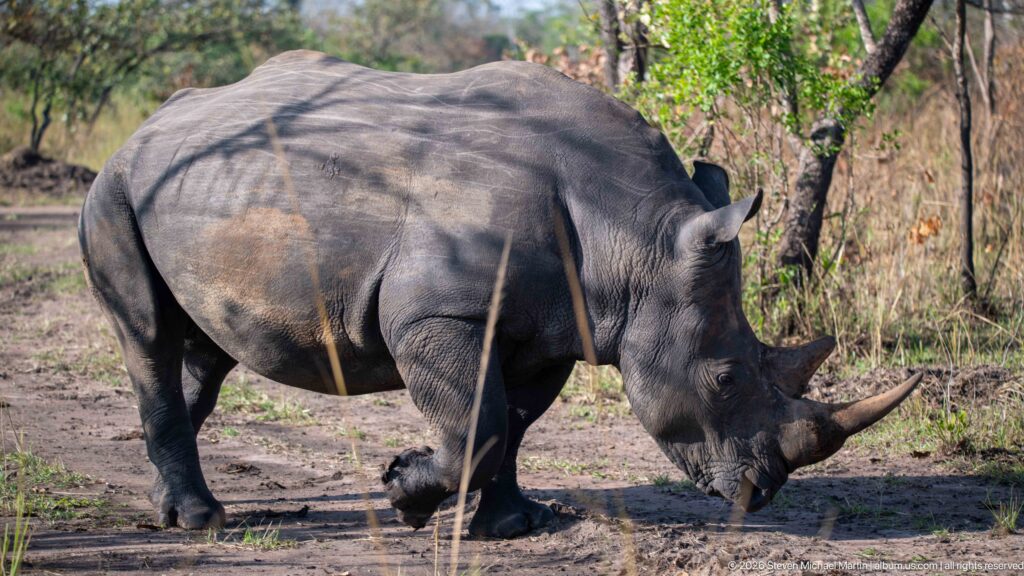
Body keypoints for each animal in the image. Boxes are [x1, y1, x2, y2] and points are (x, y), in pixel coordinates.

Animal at [78, 50, 920, 538]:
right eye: (722, 378)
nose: (762, 493)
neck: (636, 238)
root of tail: (142, 127)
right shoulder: (436, 315)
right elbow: (477, 426)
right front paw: (406, 495)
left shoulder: (554, 327)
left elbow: (511, 424)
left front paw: (512, 526)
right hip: (114, 189)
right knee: (148, 336)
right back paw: (198, 522)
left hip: (188, 185)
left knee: (203, 354)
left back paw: (169, 505)